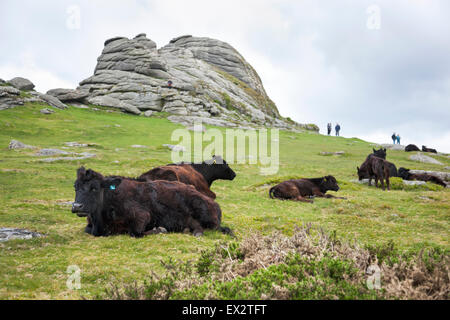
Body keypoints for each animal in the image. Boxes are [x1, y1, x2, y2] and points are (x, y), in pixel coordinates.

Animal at [72, 168, 234, 238]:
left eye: (94, 188)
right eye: (75, 187)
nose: (77, 206)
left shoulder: (142, 215)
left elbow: (135, 232)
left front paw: (159, 229)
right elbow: (87, 230)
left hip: (205, 214)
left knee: (218, 228)